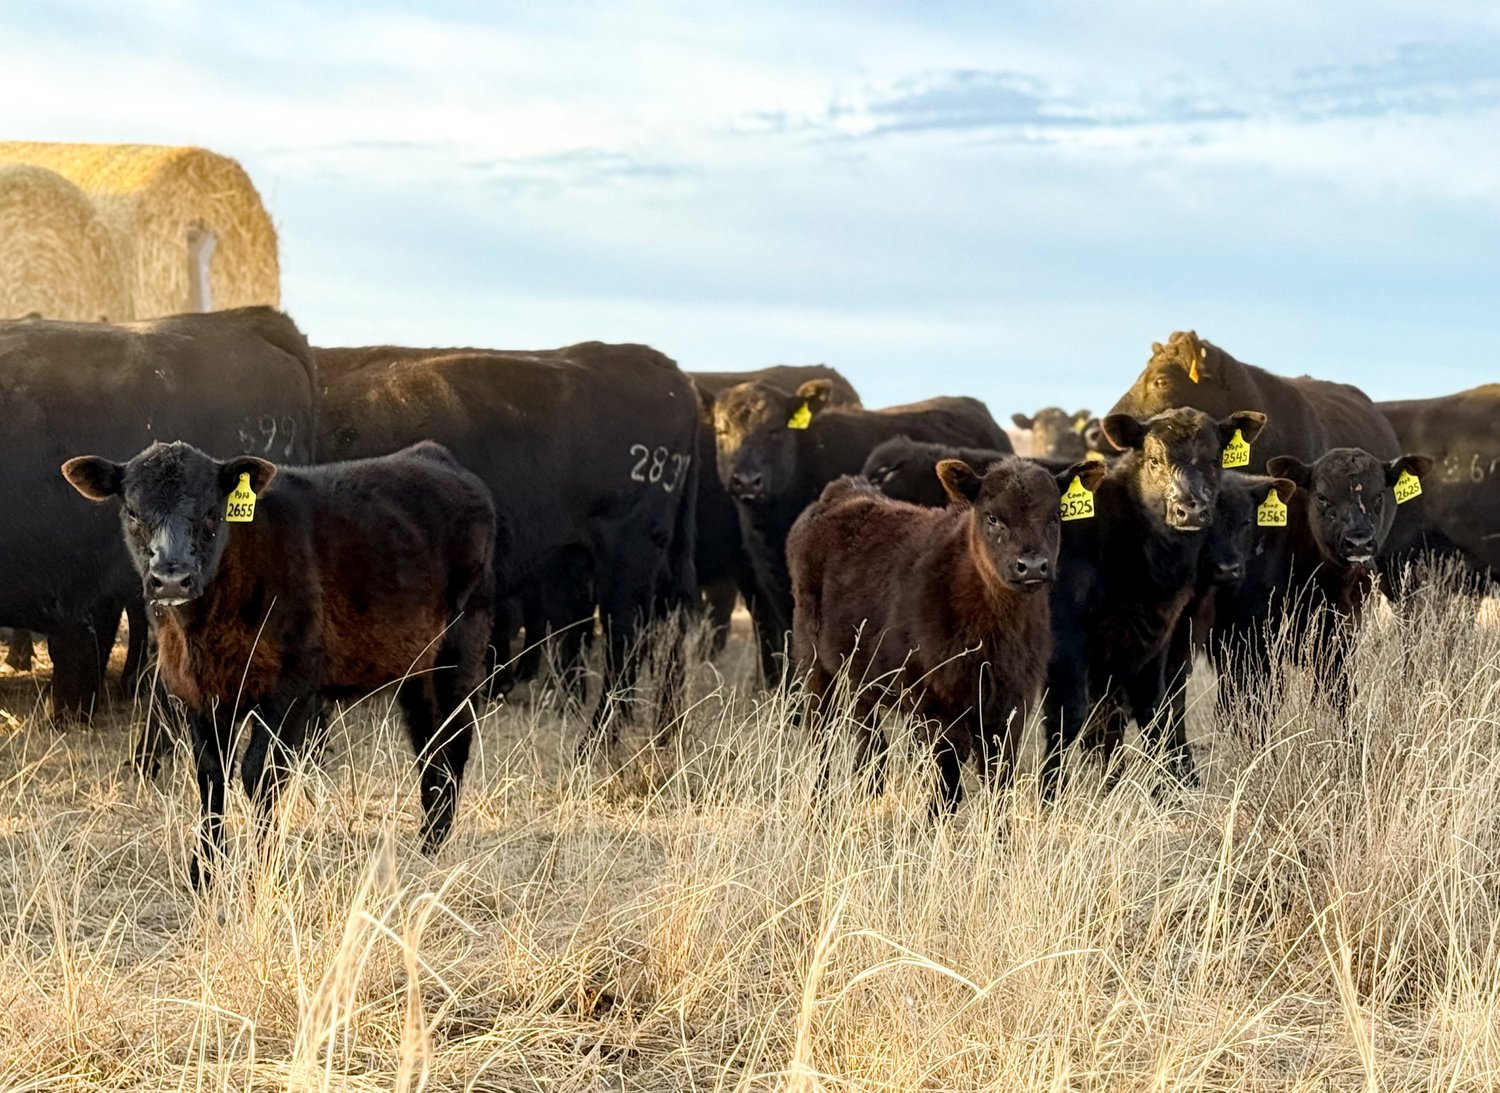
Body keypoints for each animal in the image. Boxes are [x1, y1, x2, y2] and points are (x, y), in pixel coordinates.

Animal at [62, 440, 495, 888]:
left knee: (455, 738)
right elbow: (210, 773)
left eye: (212, 511)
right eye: (133, 512)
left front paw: (260, 871)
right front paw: (205, 873)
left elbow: (260, 774)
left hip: (460, 647)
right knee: (428, 742)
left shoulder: (290, 688)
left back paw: (437, 842)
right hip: (414, 667)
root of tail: (434, 455)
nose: (170, 579)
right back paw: (427, 842)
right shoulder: (196, 691)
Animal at [788, 457, 1103, 813]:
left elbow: (999, 778)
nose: (1033, 565)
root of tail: (844, 492)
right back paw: (818, 805)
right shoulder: (935, 702)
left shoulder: (1012, 702)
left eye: (1054, 517)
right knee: (821, 736)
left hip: (859, 670)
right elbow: (949, 779)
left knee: (868, 733)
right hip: (813, 661)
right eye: (992, 517)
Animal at [1038, 408, 1267, 799]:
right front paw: (1049, 794)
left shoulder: (1156, 640)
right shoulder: (1068, 642)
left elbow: (1150, 711)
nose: (1190, 510)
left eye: (1214, 459)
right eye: (1155, 460)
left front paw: (1157, 788)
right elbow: (1071, 716)